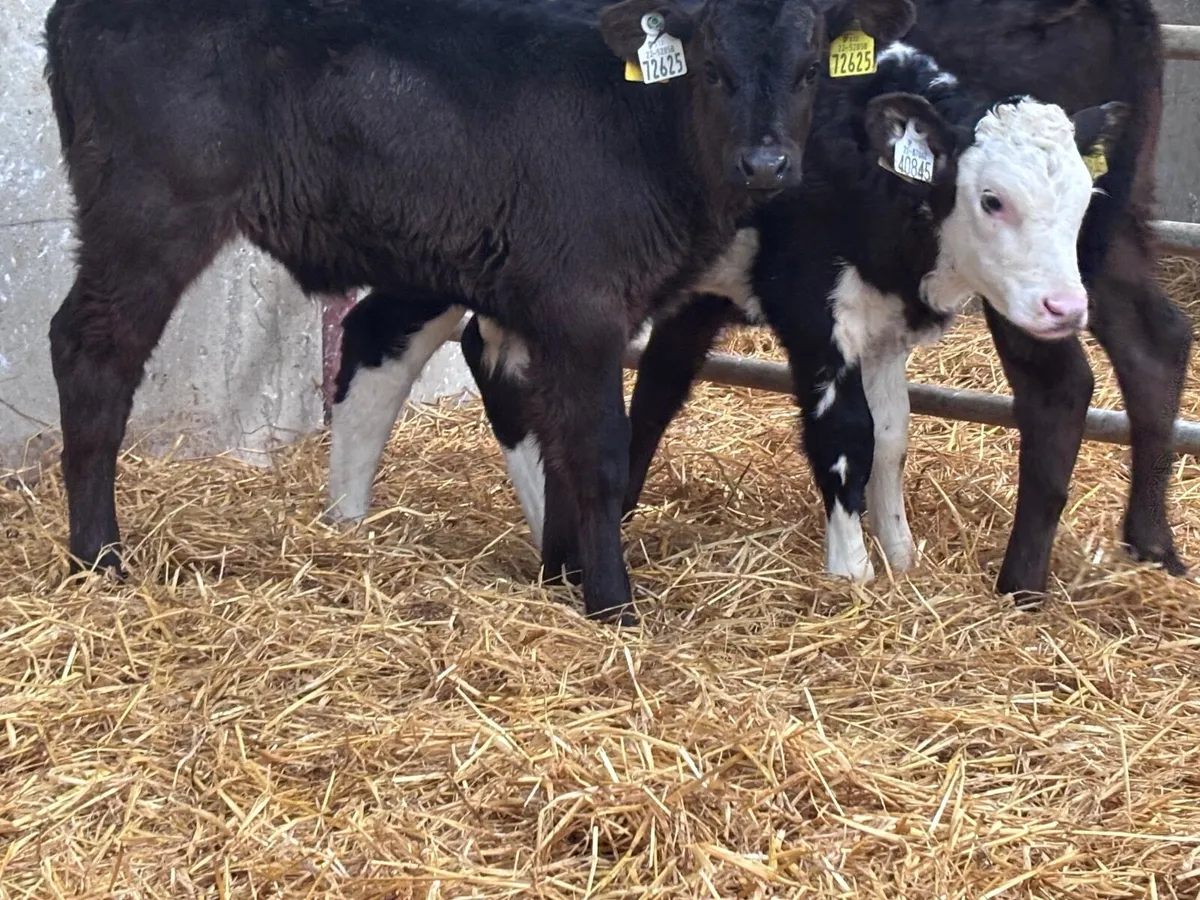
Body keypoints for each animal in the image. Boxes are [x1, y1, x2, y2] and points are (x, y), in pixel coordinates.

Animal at [44, 0, 919, 625]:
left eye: (808, 68)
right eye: (709, 66)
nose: (766, 163)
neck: (643, 130)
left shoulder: (544, 310)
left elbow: (557, 442)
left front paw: (563, 570)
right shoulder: (584, 307)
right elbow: (599, 452)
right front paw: (613, 603)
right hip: (150, 216)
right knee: (91, 353)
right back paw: (98, 557)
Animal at [332, 0, 1188, 608]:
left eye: (1076, 197)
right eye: (991, 200)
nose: (1061, 304)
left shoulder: (880, 309)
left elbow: (893, 435)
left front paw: (902, 559)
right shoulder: (810, 300)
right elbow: (846, 433)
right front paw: (851, 573)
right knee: (381, 334)